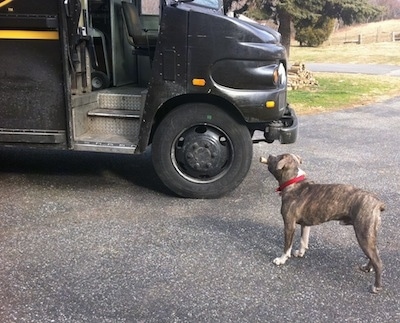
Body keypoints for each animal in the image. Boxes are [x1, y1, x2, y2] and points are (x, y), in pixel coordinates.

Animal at [260, 154, 384, 294]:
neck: (294, 181)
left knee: (377, 261)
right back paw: (367, 268)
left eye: (276, 158)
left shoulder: (289, 225)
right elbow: (303, 240)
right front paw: (300, 253)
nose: (269, 155)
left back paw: (376, 286)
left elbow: (287, 246)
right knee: (374, 254)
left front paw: (282, 259)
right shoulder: (305, 225)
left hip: (363, 235)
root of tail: (378, 202)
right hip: (369, 236)